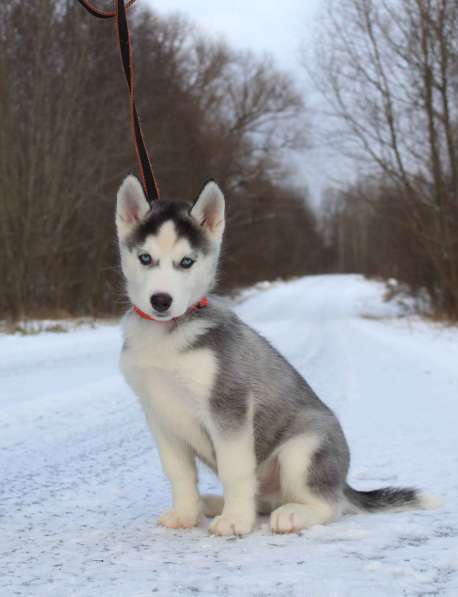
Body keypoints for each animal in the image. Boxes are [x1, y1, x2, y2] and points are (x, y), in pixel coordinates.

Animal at [117, 175, 436, 532]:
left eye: (186, 262)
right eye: (145, 258)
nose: (161, 301)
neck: (167, 335)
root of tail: (343, 483)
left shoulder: (230, 407)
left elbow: (234, 470)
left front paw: (235, 522)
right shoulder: (160, 415)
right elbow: (179, 473)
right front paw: (186, 514)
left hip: (304, 448)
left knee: (327, 505)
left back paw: (292, 514)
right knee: (264, 499)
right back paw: (212, 503)